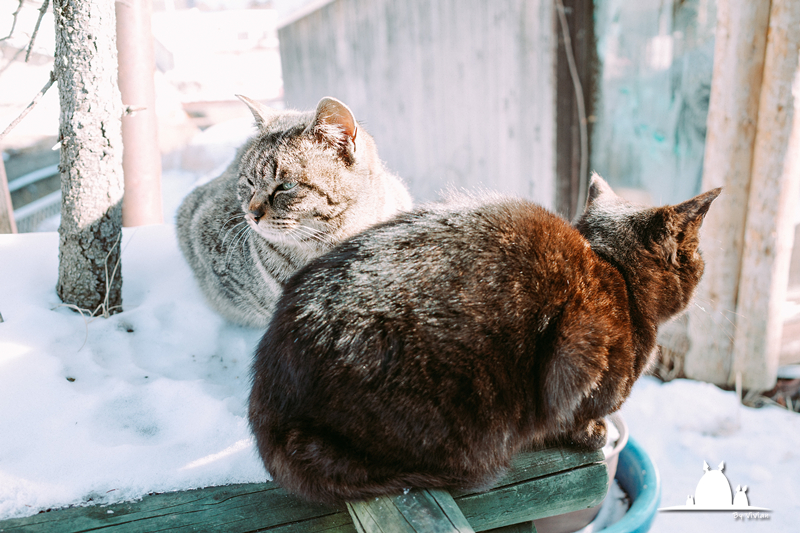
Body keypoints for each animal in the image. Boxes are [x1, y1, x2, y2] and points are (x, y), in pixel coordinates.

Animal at [248, 175, 720, 502]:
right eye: (697, 253)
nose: (704, 263)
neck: (613, 269)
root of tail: (267, 398)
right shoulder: (577, 349)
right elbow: (573, 414)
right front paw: (592, 432)